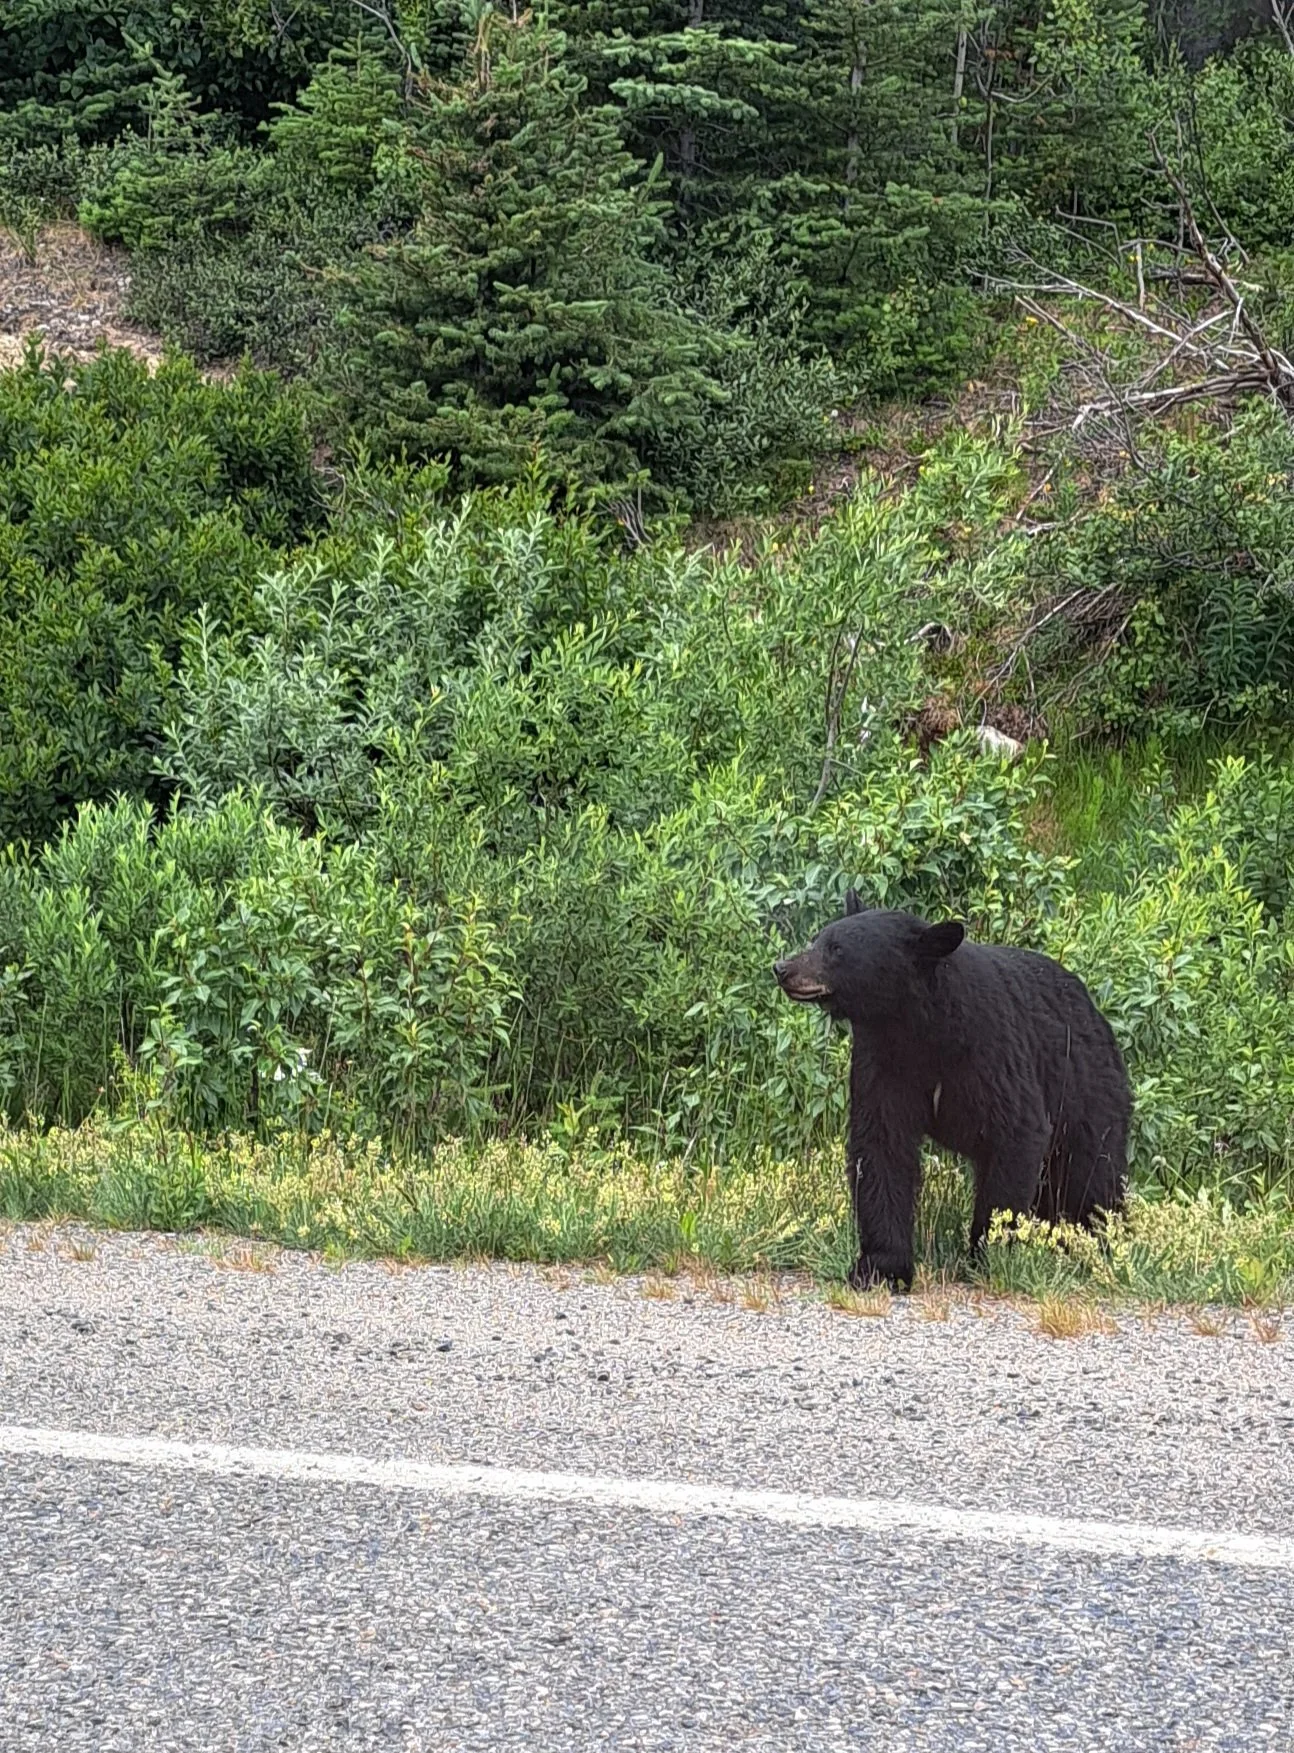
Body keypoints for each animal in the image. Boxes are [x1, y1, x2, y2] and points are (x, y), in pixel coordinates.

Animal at [773, 893, 1131, 1290]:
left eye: (836, 950)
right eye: (818, 939)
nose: (782, 968)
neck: (921, 1027)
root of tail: (1098, 1014)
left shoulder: (991, 1054)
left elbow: (1016, 1134)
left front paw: (987, 1255)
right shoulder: (882, 1061)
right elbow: (881, 1148)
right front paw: (880, 1266)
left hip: (1088, 1095)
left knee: (1093, 1179)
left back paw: (1101, 1248)